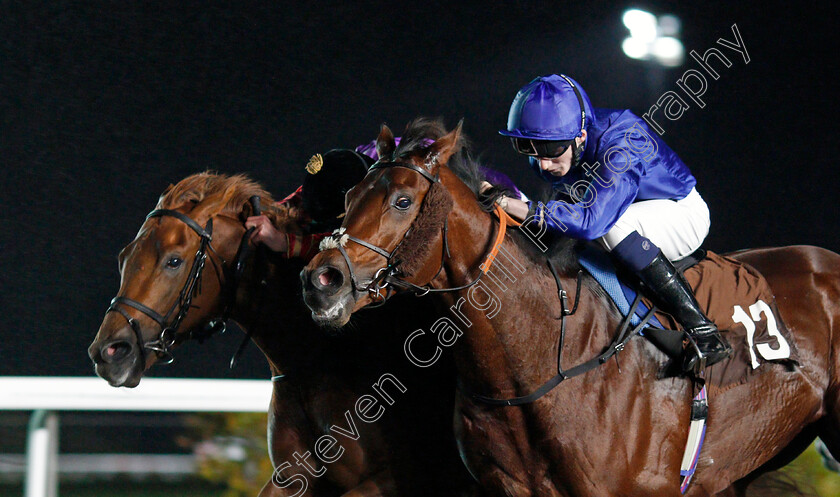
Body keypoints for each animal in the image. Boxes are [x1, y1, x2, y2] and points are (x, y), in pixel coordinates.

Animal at [89, 172, 476, 494]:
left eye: (173, 261)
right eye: (125, 257)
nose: (109, 351)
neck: (323, 357)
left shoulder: (398, 477)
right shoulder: (291, 476)